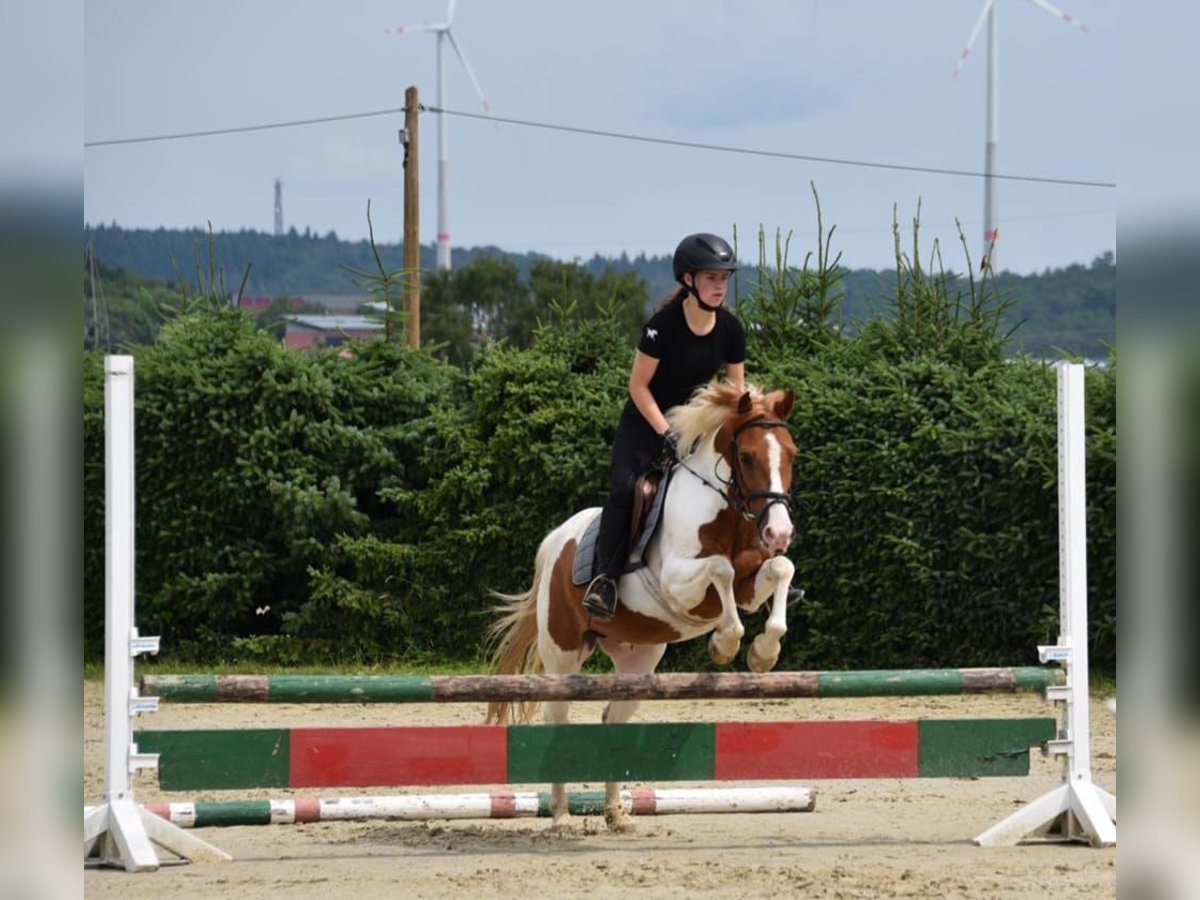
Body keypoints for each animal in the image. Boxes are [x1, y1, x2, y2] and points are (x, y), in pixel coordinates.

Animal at [482, 379, 801, 830]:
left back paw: (617, 814)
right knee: (557, 719)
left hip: (638, 663)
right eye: (747, 456)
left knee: (613, 719)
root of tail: (557, 540)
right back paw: (561, 817)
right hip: (563, 655)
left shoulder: (750, 585)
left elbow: (781, 570)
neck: (725, 512)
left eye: (791, 454)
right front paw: (725, 643)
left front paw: (763, 653)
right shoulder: (679, 584)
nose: (779, 532)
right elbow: (720, 570)